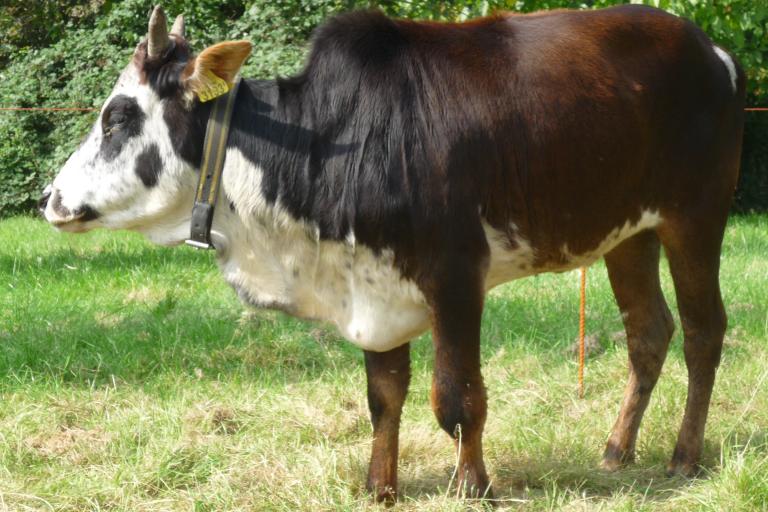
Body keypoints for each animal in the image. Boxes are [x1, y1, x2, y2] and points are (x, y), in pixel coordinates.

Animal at [40, 2, 744, 502]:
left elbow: (457, 399)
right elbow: (385, 396)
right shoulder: (373, 287)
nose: (50, 197)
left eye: (118, 116)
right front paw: (380, 486)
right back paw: (617, 450)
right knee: (648, 333)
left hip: (695, 219)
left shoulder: (456, 277)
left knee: (704, 332)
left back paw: (684, 456)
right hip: (630, 235)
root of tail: (711, 49)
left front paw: (472, 487)